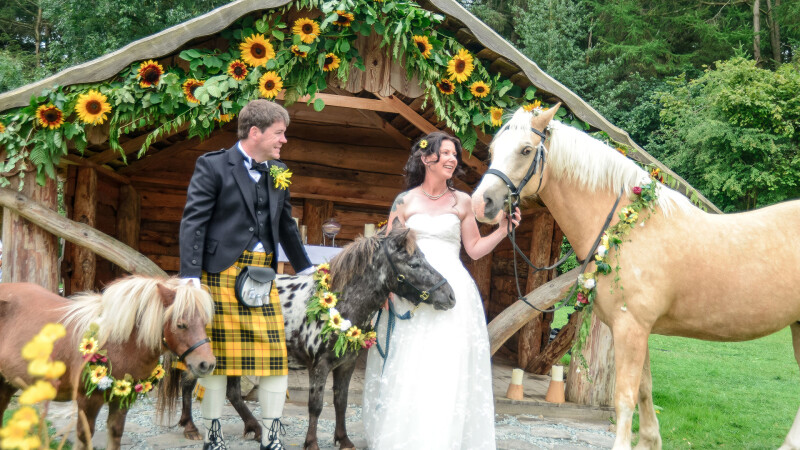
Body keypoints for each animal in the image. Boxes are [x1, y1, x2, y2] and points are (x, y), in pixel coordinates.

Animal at [0, 275, 216, 450]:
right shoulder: (87, 401)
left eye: (205, 322)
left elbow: (115, 433)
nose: (207, 364)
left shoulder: (122, 399)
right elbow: (84, 438)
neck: (115, 340)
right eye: (181, 325)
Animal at [167, 227, 456, 449]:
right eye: (414, 264)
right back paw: (191, 428)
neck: (341, 304)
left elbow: (340, 402)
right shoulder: (320, 365)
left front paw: (344, 440)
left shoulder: (346, 365)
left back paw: (255, 429)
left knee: (233, 393)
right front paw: (312, 443)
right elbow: (316, 405)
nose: (451, 297)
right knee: (188, 382)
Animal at [471, 104, 800, 449]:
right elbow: (644, 389)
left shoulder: (632, 328)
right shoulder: (637, 330)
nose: (481, 203)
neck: (628, 226)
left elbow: (625, 397)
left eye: (525, 150)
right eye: (493, 150)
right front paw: (649, 441)